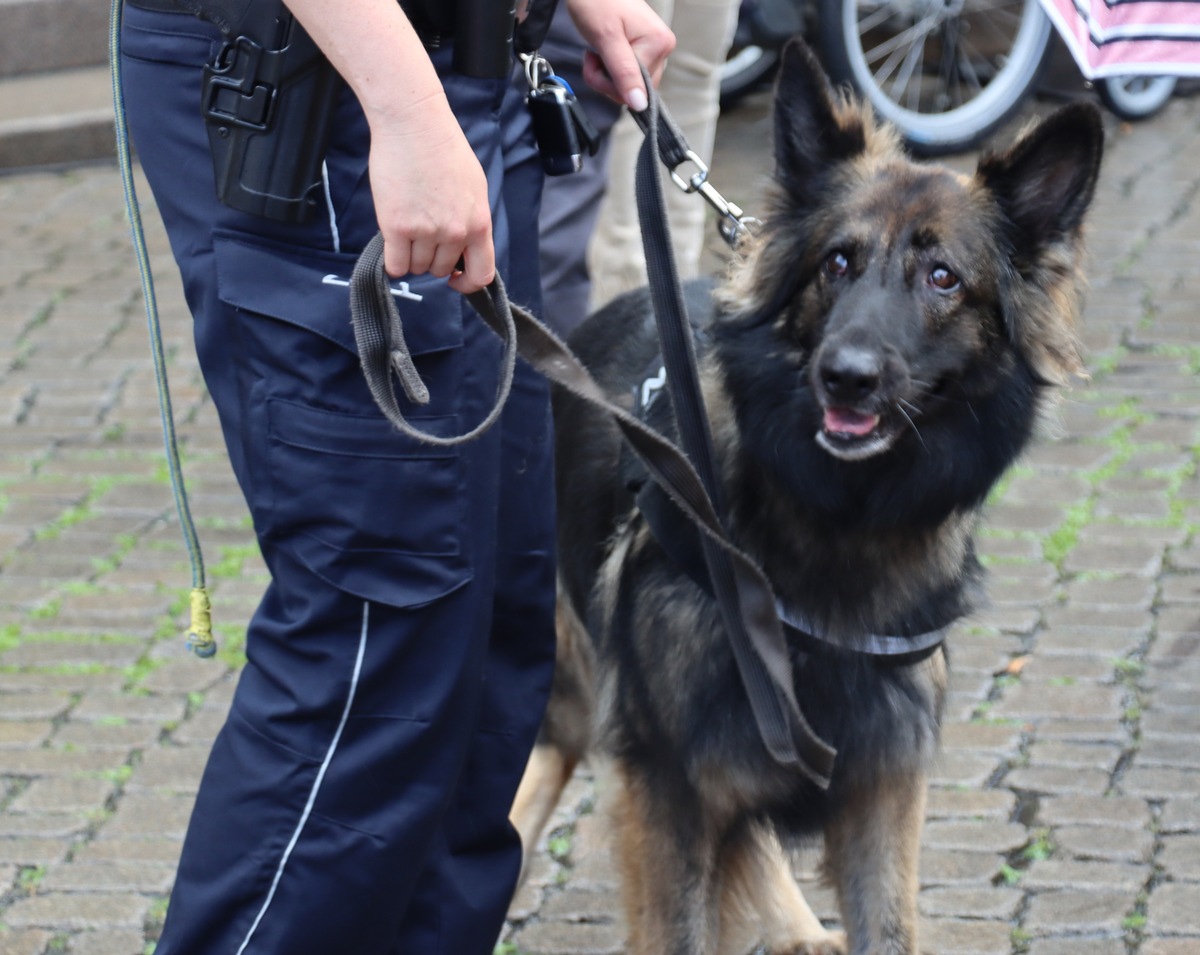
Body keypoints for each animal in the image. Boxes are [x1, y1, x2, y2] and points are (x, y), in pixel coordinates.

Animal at [511, 41, 1099, 955]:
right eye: (838, 262)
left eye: (943, 278)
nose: (846, 377)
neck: (835, 527)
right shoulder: (667, 780)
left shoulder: (881, 778)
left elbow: (884, 924)